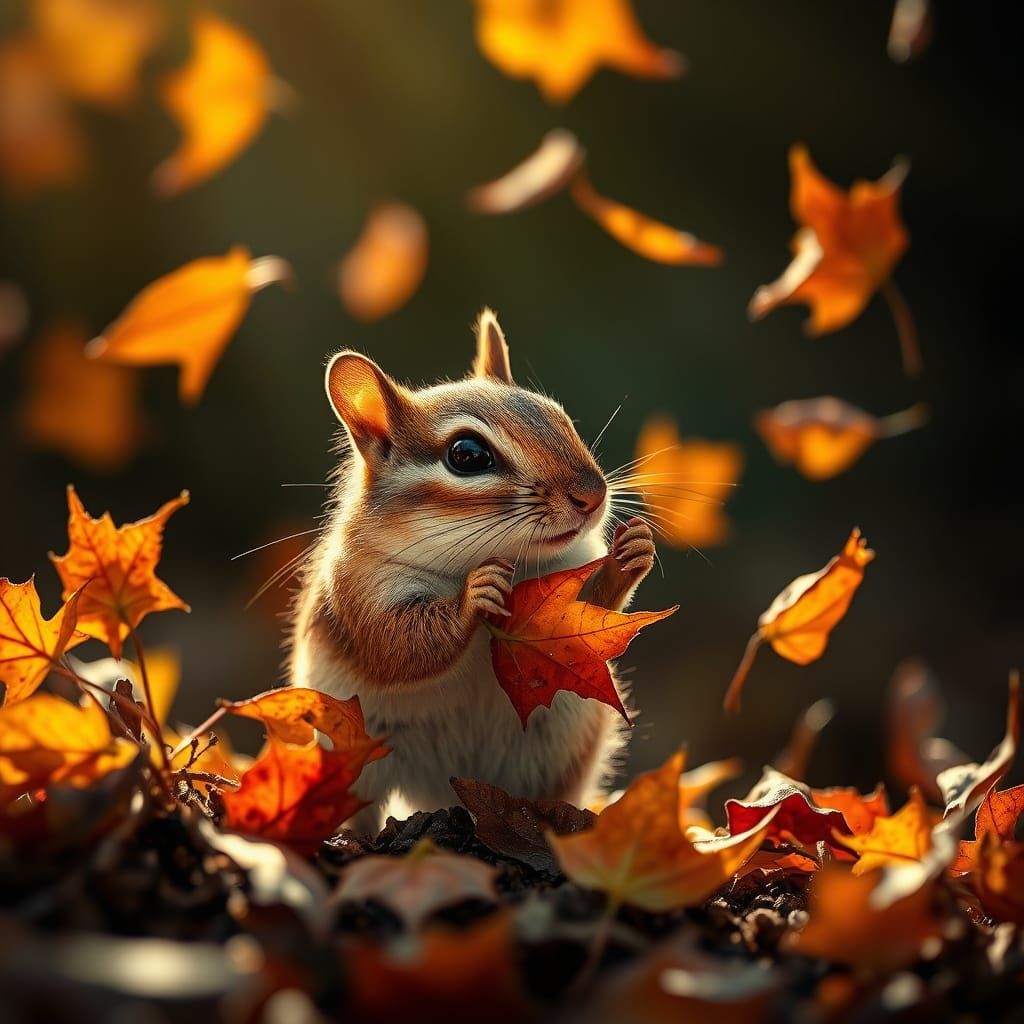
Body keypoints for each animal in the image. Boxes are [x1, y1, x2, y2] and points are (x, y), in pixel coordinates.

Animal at [288, 309, 656, 834]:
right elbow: (397, 644)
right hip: (354, 753)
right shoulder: (359, 587)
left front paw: (633, 550)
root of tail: (454, 787)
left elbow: (592, 610)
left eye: (560, 416)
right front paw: (473, 596)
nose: (593, 494)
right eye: (467, 455)